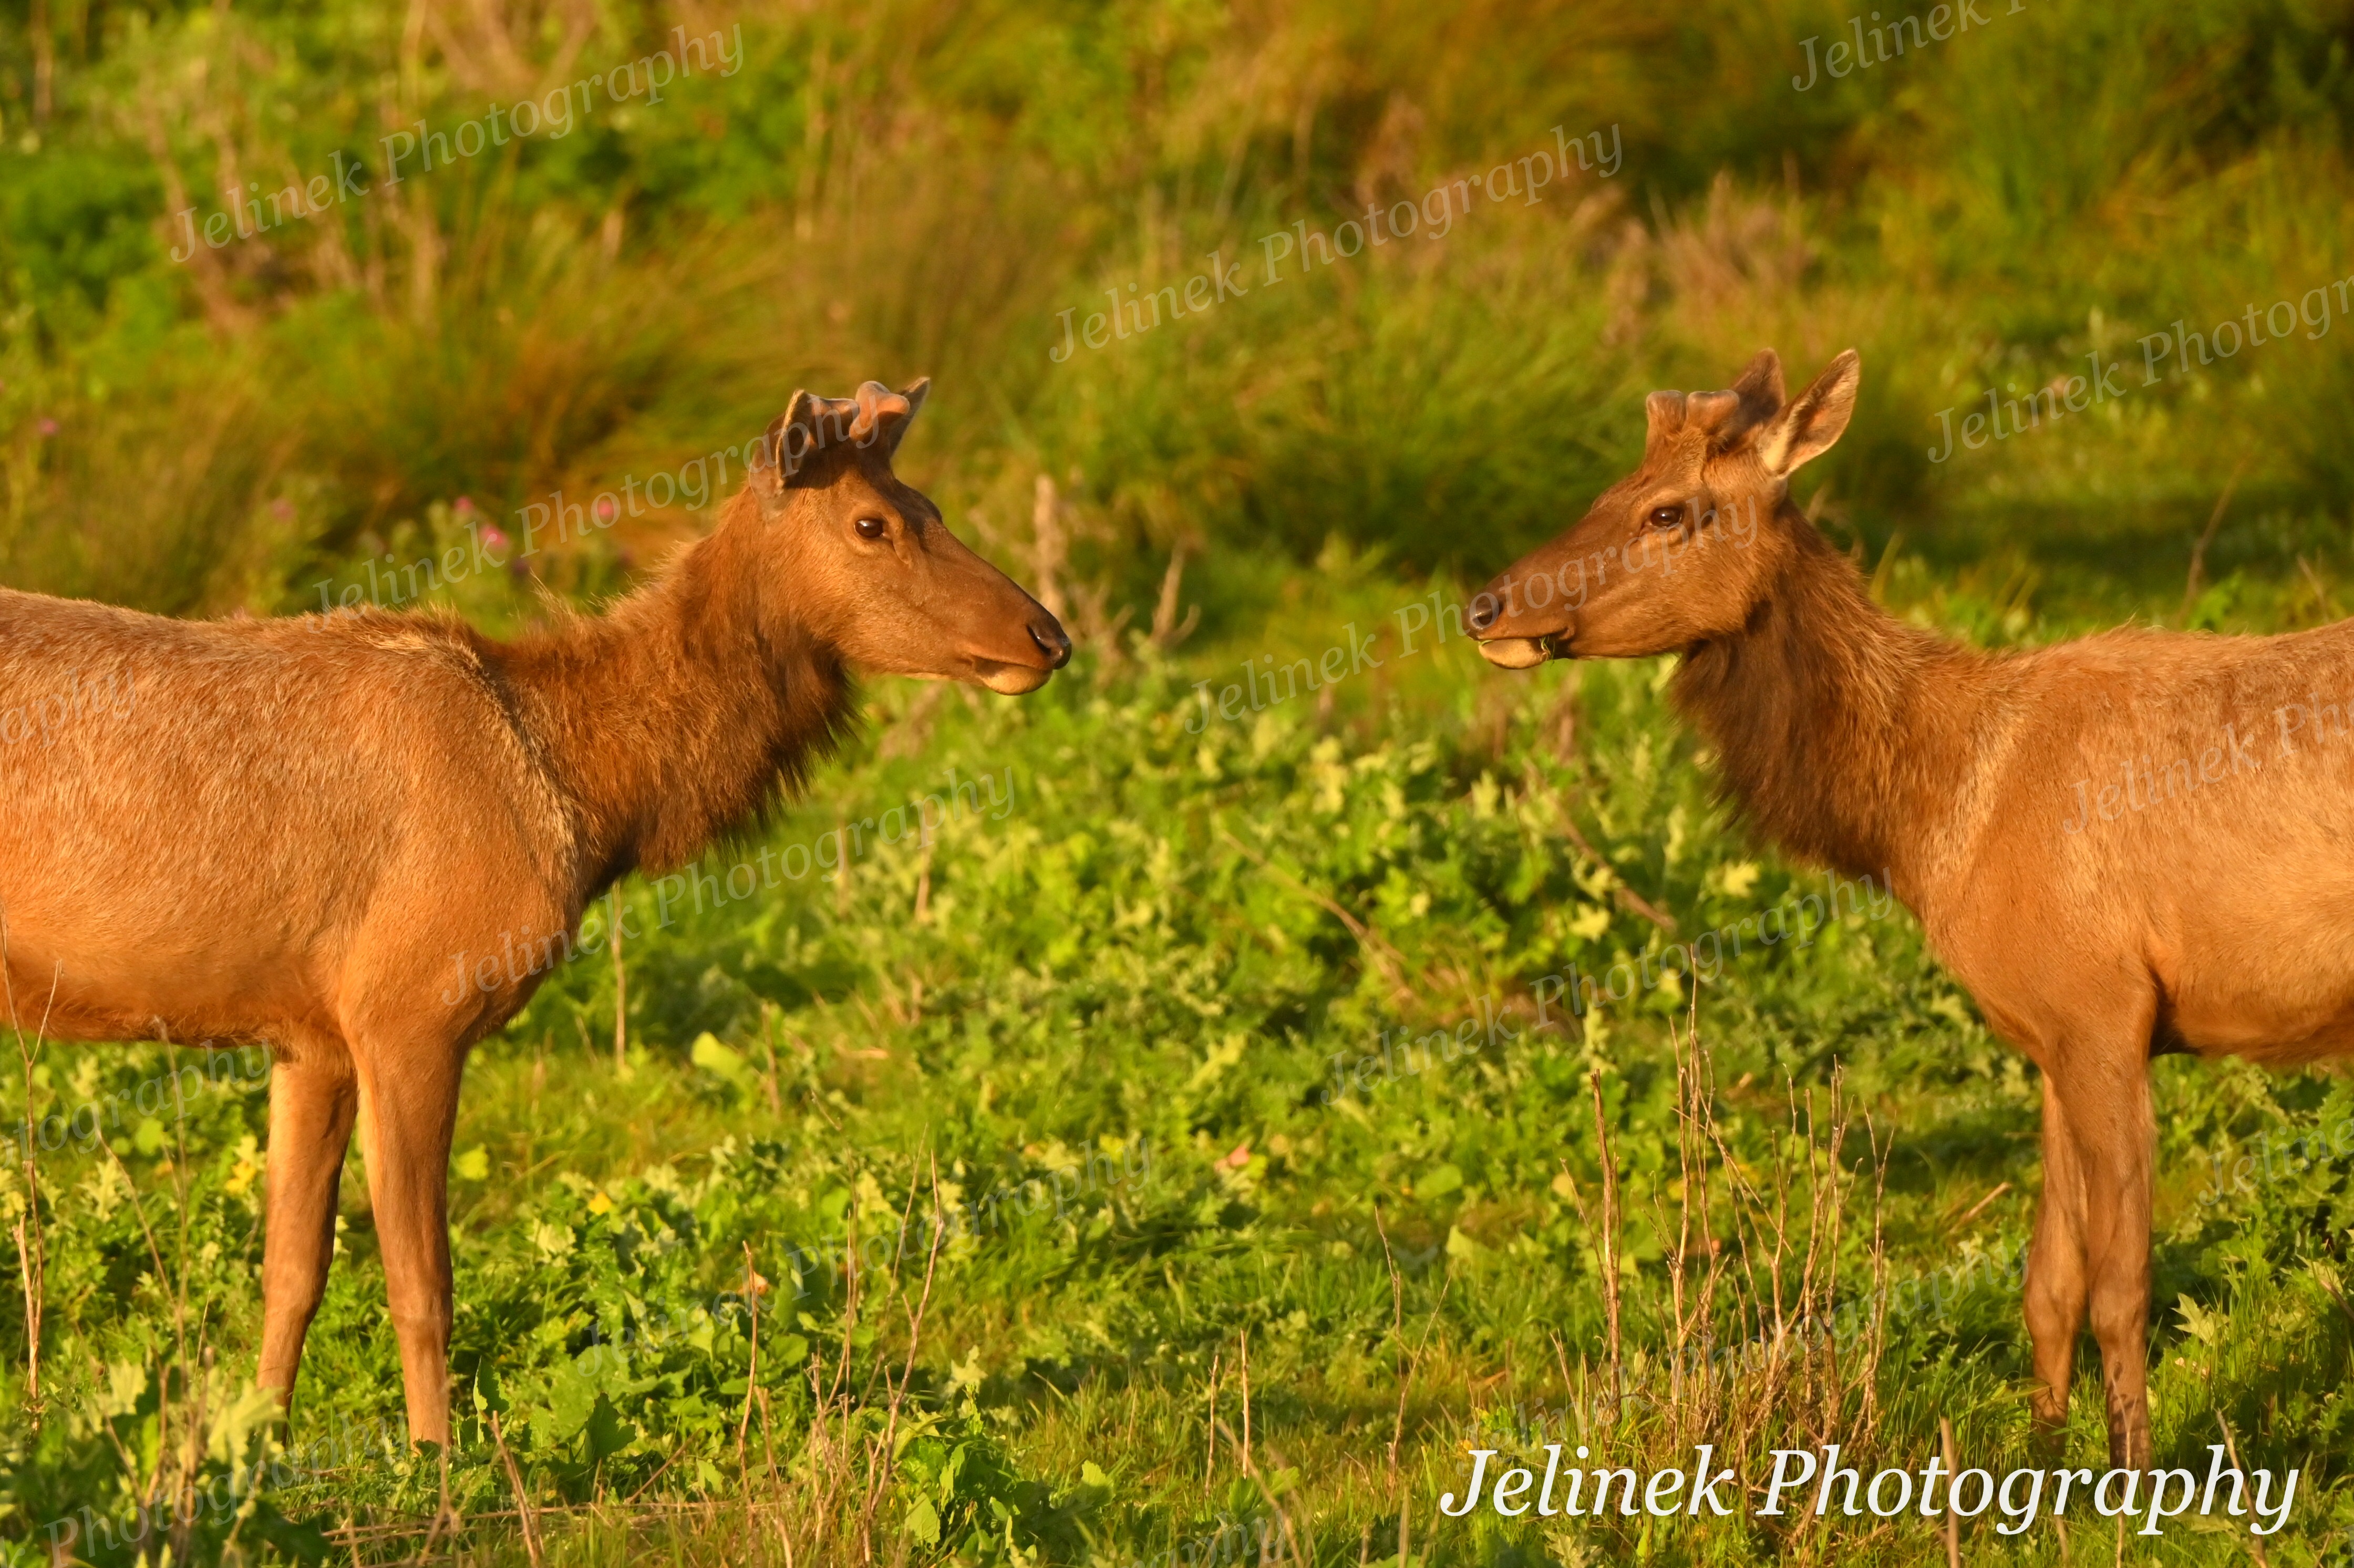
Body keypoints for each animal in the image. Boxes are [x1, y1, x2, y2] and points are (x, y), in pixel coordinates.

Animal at [0, 379, 1069, 1447]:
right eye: (871, 522)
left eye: (931, 502)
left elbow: (292, 1269)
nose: (1047, 635)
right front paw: (435, 1459)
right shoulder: (409, 1008)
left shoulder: (312, 1034)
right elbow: (423, 1282)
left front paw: (255, 1439)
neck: (593, 793)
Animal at [1467, 346, 2354, 1470]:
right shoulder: (2051, 1033)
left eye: (1669, 509)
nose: (1485, 606)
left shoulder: (2103, 1007)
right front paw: (2040, 1454)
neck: (1929, 816)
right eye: (1609, 487)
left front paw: (2136, 1477)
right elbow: (2048, 1280)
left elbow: (2121, 1285)